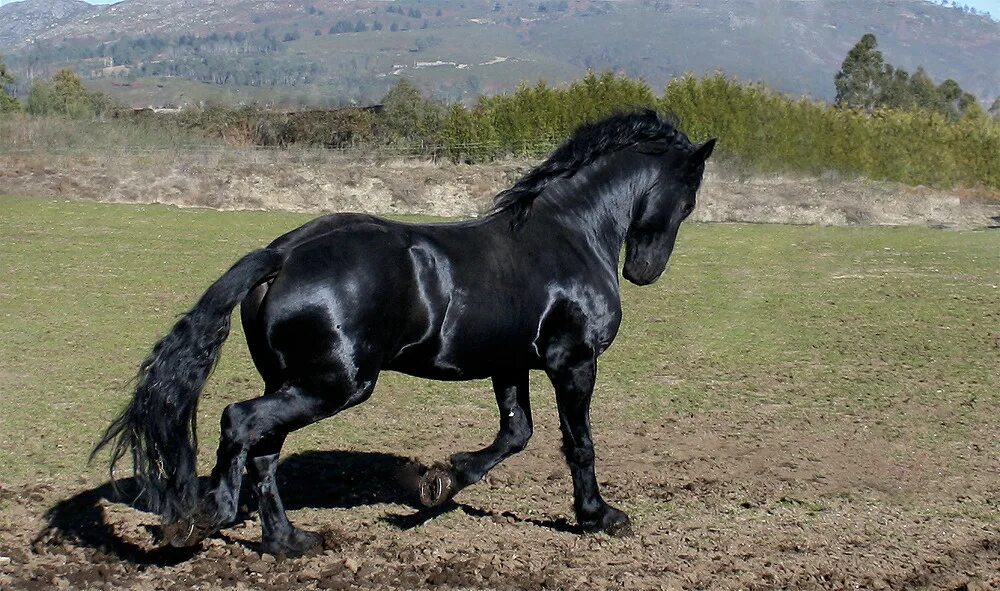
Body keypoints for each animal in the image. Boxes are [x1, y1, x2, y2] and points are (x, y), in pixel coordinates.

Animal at [94, 108, 712, 556]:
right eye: (688, 198)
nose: (644, 272)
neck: (568, 234)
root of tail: (284, 253)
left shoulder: (510, 363)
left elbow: (516, 434)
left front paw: (439, 484)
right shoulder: (573, 360)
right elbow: (577, 442)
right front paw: (598, 516)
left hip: (294, 382)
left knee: (263, 450)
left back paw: (289, 542)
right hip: (334, 385)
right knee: (239, 422)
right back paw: (210, 515)